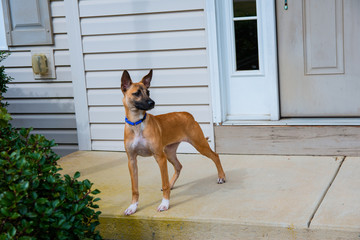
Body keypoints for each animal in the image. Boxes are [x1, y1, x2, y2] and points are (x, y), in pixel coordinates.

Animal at [122, 70, 226, 216]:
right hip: (169, 152)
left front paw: (165, 204)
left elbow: (164, 183)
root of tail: (187, 114)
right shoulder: (131, 160)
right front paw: (133, 206)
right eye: (136, 93)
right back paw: (172, 184)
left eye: (148, 92)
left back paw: (221, 177)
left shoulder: (160, 158)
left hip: (198, 144)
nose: (152, 102)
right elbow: (134, 188)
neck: (137, 123)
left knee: (215, 156)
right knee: (178, 166)